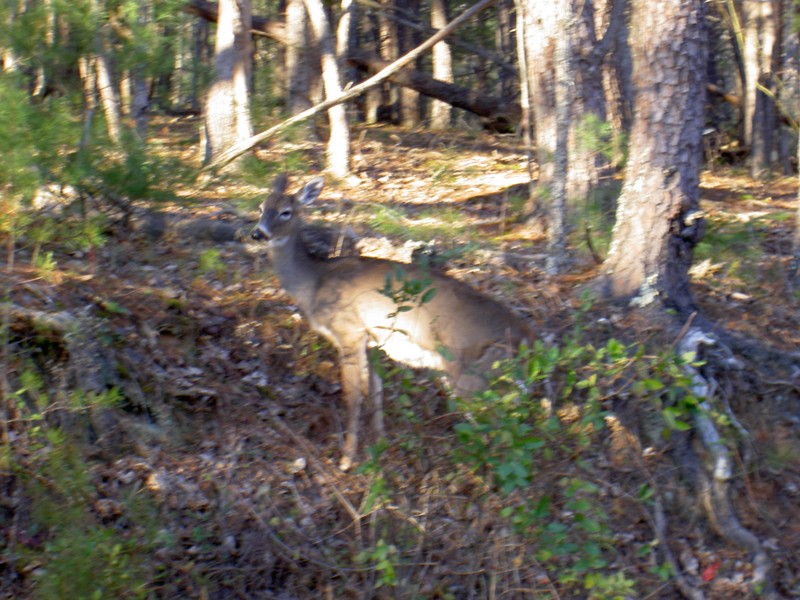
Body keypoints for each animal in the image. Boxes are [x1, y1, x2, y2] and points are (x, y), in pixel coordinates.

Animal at [253, 173, 536, 468]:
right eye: (261, 207)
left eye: (286, 212)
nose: (258, 234)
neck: (313, 282)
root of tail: (528, 339)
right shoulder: (373, 341)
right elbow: (376, 393)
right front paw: (380, 445)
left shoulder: (349, 331)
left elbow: (353, 397)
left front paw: (346, 459)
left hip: (473, 375)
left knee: (499, 429)